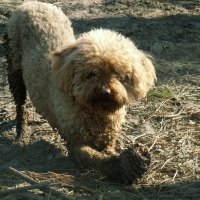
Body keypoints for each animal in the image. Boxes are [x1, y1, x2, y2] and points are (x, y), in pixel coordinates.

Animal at [3, 1, 156, 184]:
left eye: (117, 73)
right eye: (91, 73)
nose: (105, 92)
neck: (97, 112)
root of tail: (30, 4)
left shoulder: (109, 139)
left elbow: (108, 151)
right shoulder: (76, 141)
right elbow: (94, 158)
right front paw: (121, 166)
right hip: (14, 65)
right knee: (20, 105)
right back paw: (21, 134)